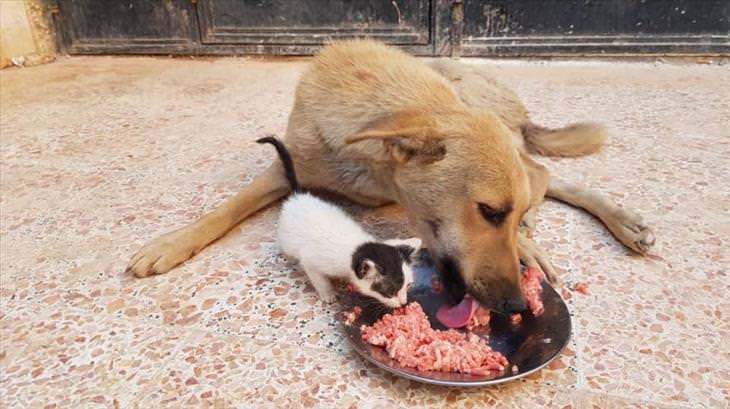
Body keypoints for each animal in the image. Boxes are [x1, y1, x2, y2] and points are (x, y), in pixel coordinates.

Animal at [256, 137, 418, 306]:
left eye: (408, 285)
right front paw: (328, 293)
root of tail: (298, 196)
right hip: (286, 237)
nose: (404, 303)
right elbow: (318, 278)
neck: (355, 247)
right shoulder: (311, 261)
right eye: (390, 291)